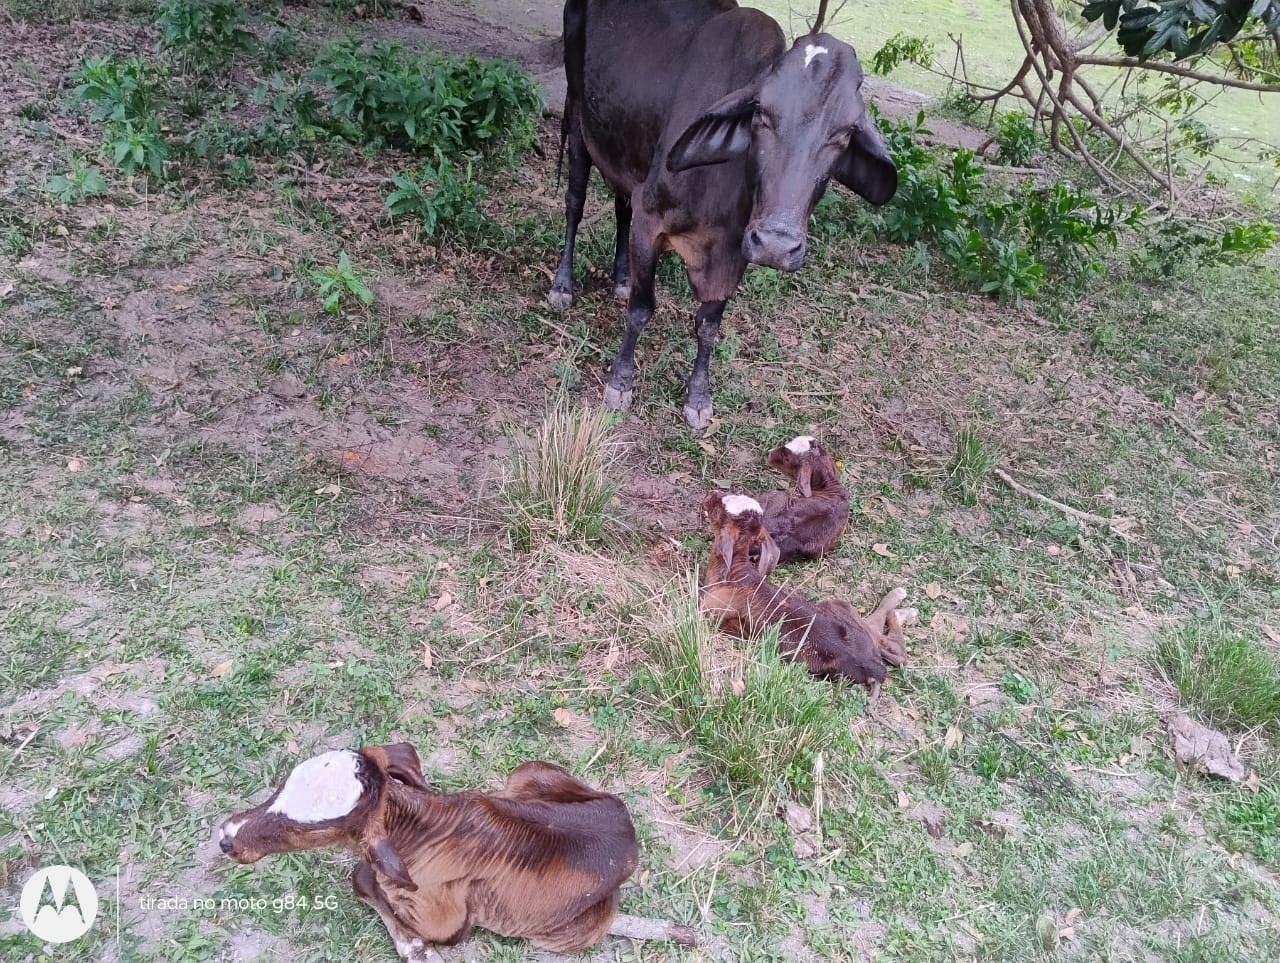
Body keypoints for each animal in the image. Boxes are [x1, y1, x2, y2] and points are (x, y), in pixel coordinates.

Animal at [549, 0, 897, 429]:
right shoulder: (651, 219)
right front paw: (620, 382)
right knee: (575, 204)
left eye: (844, 134)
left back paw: (621, 277)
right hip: (579, 118)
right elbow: (642, 309)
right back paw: (563, 284)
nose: (776, 244)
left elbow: (708, 324)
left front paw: (698, 397)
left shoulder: (735, 251)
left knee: (620, 205)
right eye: (761, 115)